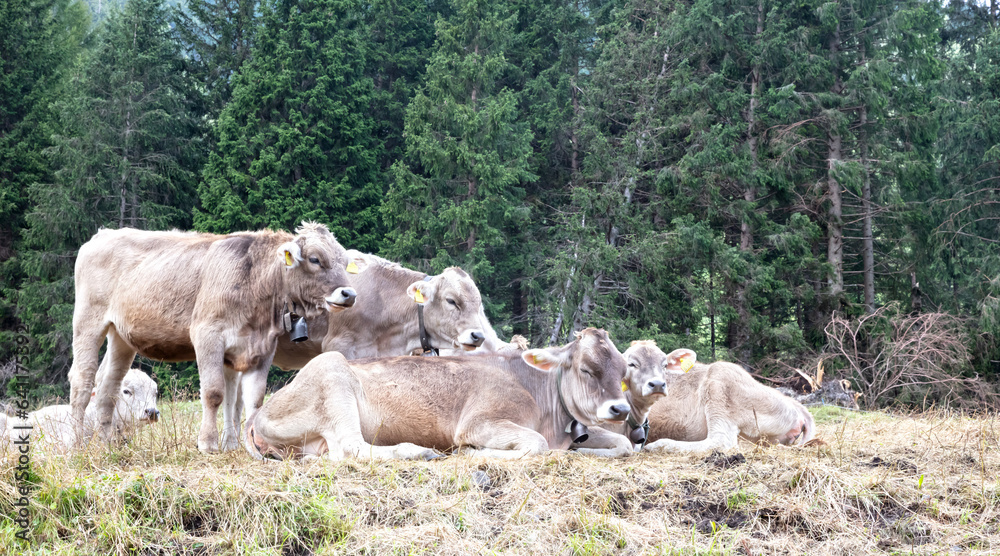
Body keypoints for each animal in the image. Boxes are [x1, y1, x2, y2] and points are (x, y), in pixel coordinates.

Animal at [68, 222, 363, 453]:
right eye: (315, 259)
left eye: (343, 262)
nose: (349, 293)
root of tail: (104, 234)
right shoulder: (207, 335)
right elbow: (214, 393)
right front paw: (208, 444)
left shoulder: (261, 348)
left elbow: (252, 399)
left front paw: (251, 445)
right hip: (88, 321)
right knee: (82, 382)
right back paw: (76, 445)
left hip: (121, 336)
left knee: (107, 388)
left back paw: (106, 444)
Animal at [245, 328, 632, 461]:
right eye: (586, 369)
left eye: (624, 371)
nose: (619, 409)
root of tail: (258, 415)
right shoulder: (479, 422)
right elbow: (534, 444)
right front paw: (474, 453)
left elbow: (625, 444)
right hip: (333, 375)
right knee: (351, 449)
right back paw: (418, 452)